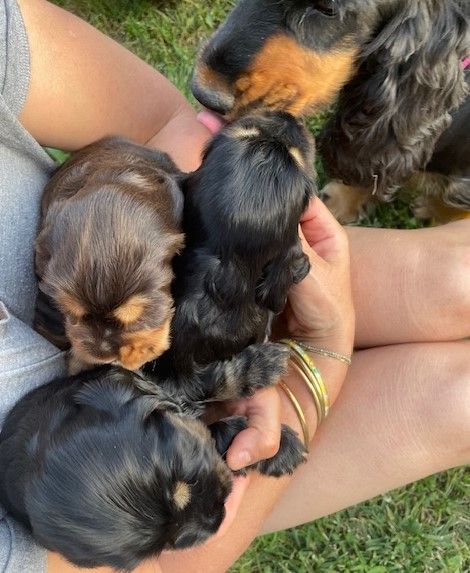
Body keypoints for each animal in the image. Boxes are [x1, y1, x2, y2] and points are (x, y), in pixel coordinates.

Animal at [0, 342, 304, 568]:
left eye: (189, 475)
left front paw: (263, 365)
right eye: (168, 543)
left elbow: (198, 385)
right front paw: (283, 450)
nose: (215, 520)